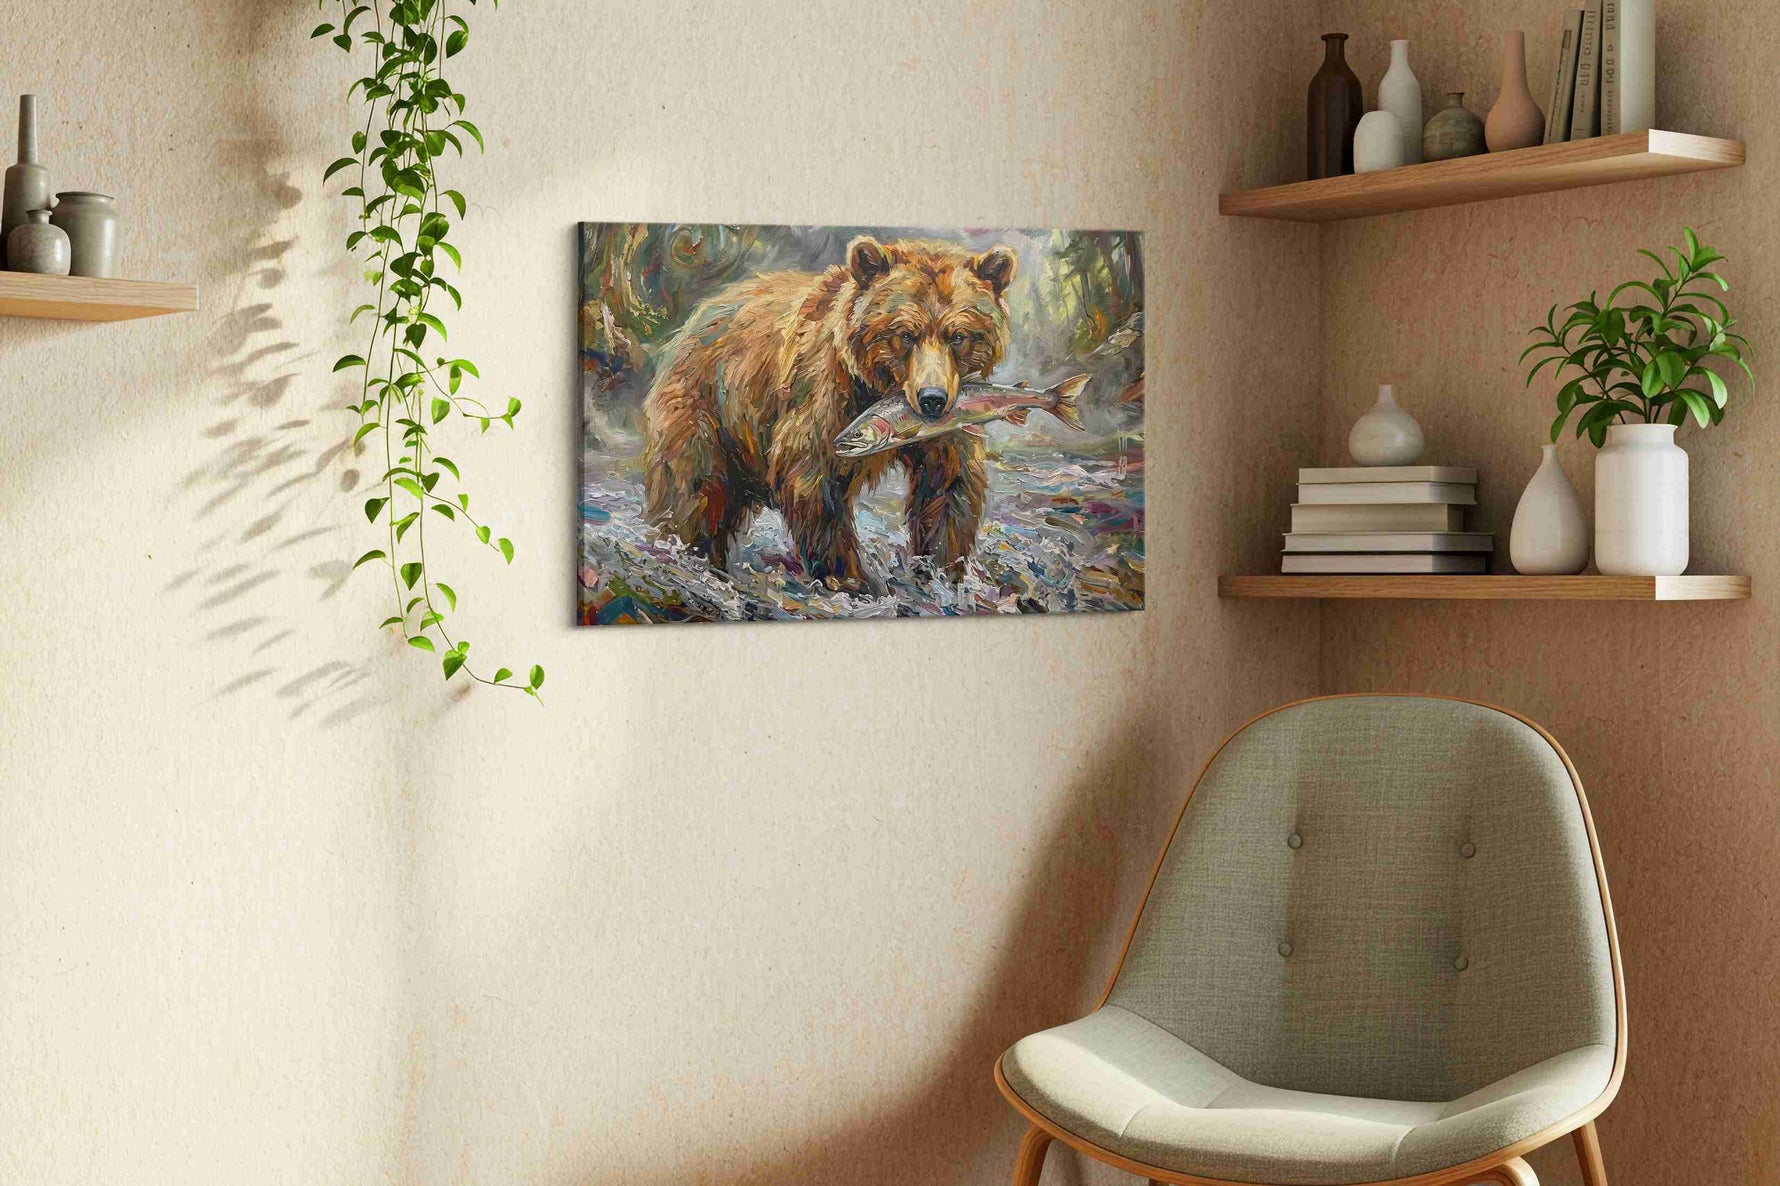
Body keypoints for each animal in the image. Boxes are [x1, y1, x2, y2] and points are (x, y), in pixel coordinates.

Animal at [640, 235, 1018, 589]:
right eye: (905, 334)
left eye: (959, 336)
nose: (932, 399)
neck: (880, 387)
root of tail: (696, 316)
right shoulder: (825, 394)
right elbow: (812, 477)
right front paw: (852, 578)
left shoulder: (954, 418)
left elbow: (948, 484)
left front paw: (940, 570)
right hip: (708, 410)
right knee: (693, 488)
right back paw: (684, 551)